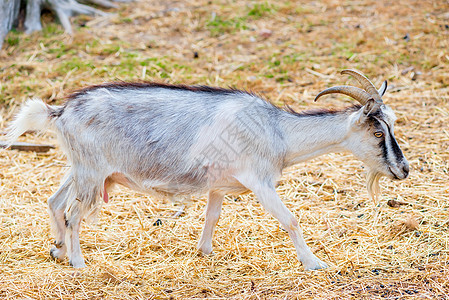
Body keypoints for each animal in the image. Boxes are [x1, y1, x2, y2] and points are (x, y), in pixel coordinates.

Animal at [7, 69, 408, 270]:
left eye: (391, 125)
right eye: (377, 131)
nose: (402, 170)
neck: (277, 131)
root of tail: (60, 112)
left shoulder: (219, 184)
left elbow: (212, 216)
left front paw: (205, 252)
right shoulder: (260, 181)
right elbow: (290, 219)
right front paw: (314, 263)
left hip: (83, 169)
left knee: (55, 202)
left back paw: (58, 250)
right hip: (91, 173)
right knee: (74, 214)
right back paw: (77, 262)